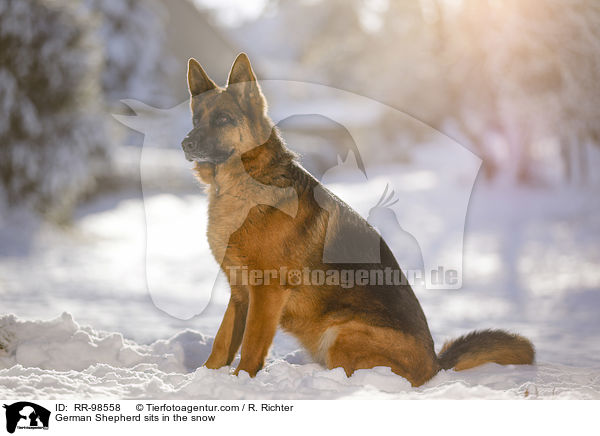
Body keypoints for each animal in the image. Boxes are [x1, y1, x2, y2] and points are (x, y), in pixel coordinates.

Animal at [182, 53, 536, 384]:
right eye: (196, 119)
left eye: (223, 119)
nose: (186, 143)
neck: (242, 185)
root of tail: (436, 365)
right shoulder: (240, 294)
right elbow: (222, 342)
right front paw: (203, 377)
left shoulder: (267, 292)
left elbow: (252, 346)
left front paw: (241, 381)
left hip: (341, 332)